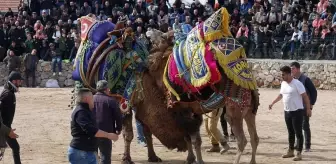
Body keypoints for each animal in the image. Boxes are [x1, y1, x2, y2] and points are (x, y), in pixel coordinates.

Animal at [71, 7, 260, 164]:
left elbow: (179, 135)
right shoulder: (153, 106)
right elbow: (144, 132)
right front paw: (142, 157)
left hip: (235, 110)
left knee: (244, 139)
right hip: (246, 111)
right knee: (252, 138)